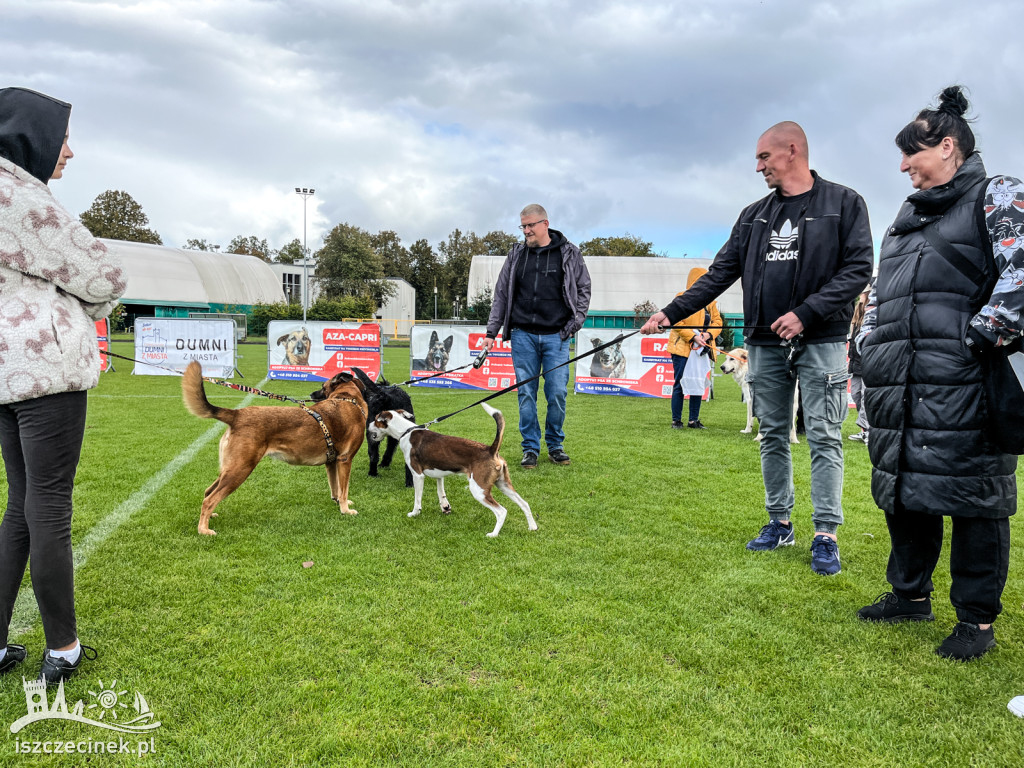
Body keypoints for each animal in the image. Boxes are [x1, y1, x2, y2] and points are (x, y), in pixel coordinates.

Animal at [183, 362, 368, 536]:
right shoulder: (345, 460)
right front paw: (345, 510)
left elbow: (336, 488)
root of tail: (237, 415)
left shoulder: (332, 463)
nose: (311, 395)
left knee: (208, 492)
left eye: (323, 387)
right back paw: (203, 530)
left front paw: (338, 502)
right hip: (240, 470)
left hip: (229, 470)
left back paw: (210, 517)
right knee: (209, 500)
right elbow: (344, 490)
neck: (347, 399)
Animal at [372, 405, 540, 536]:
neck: (405, 431)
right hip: (503, 485)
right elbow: (441, 492)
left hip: (479, 489)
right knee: (524, 503)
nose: (368, 427)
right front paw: (445, 507)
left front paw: (414, 513)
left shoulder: (417, 475)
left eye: (375, 419)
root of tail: (491, 450)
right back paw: (532, 527)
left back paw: (493, 534)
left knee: (501, 511)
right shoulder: (439, 474)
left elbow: (417, 499)